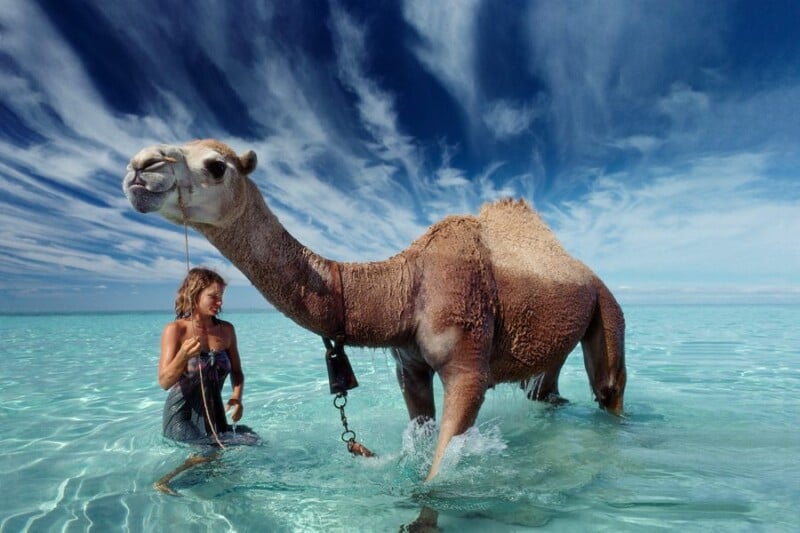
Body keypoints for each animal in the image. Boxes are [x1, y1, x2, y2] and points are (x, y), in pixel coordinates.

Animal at [123, 139, 626, 482]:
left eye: (215, 166)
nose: (139, 166)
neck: (404, 285)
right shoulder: (409, 365)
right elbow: (420, 433)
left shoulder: (468, 365)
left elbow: (438, 471)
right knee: (545, 388)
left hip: (606, 305)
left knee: (608, 385)